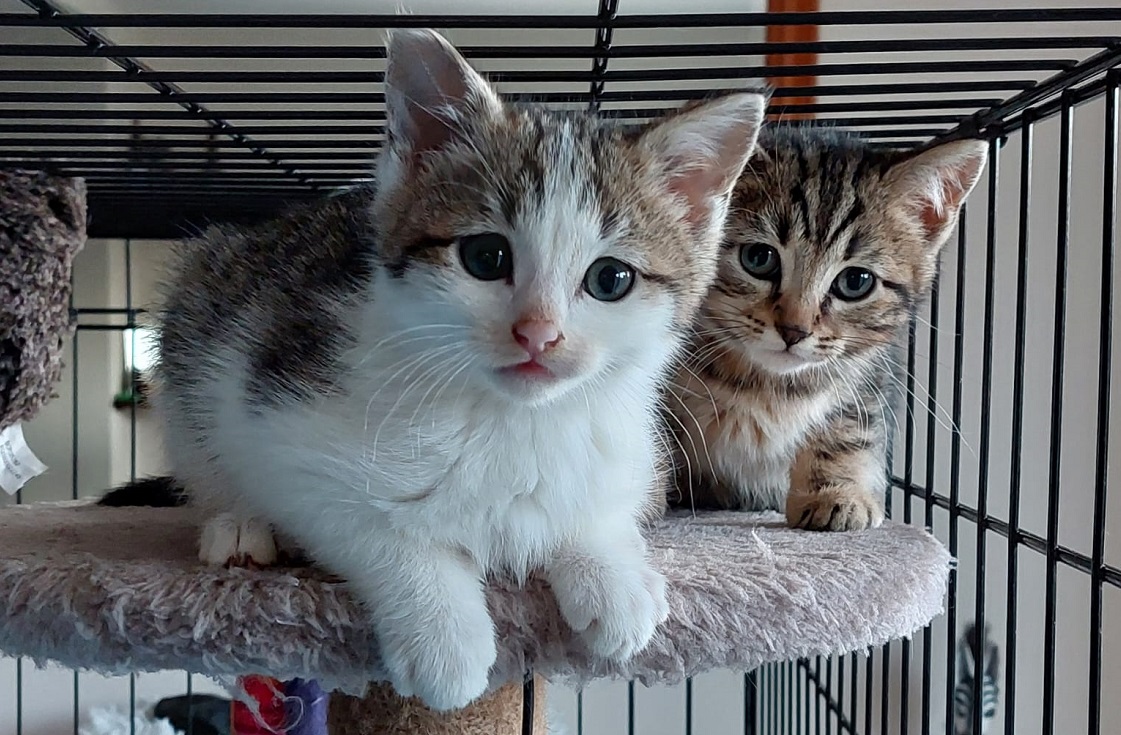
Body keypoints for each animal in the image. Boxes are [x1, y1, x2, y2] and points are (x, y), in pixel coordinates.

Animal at [153, 30, 766, 712]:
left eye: (611, 278)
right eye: (486, 257)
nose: (538, 334)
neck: (513, 421)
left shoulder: (633, 448)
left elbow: (602, 501)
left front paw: (612, 572)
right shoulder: (278, 418)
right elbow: (368, 522)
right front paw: (443, 632)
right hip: (200, 311)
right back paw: (238, 526)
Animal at [668, 126, 986, 528]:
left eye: (856, 281)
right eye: (758, 258)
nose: (794, 330)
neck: (770, 387)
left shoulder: (868, 376)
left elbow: (848, 427)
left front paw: (837, 491)